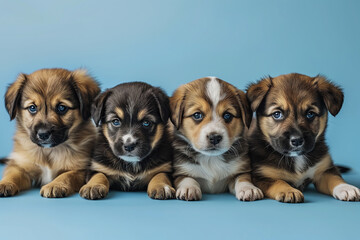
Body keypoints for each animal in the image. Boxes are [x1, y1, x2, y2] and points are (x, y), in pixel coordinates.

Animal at [0, 68, 100, 198]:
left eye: (62, 108)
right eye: (32, 108)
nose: (43, 134)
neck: (48, 152)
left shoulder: (80, 169)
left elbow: (66, 175)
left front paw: (55, 185)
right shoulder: (20, 165)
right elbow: (12, 174)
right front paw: (4, 183)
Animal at [248, 73, 360, 202]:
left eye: (310, 114)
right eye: (277, 114)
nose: (297, 141)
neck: (297, 158)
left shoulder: (324, 171)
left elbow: (335, 179)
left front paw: (346, 188)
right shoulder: (262, 176)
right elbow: (279, 181)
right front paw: (289, 191)